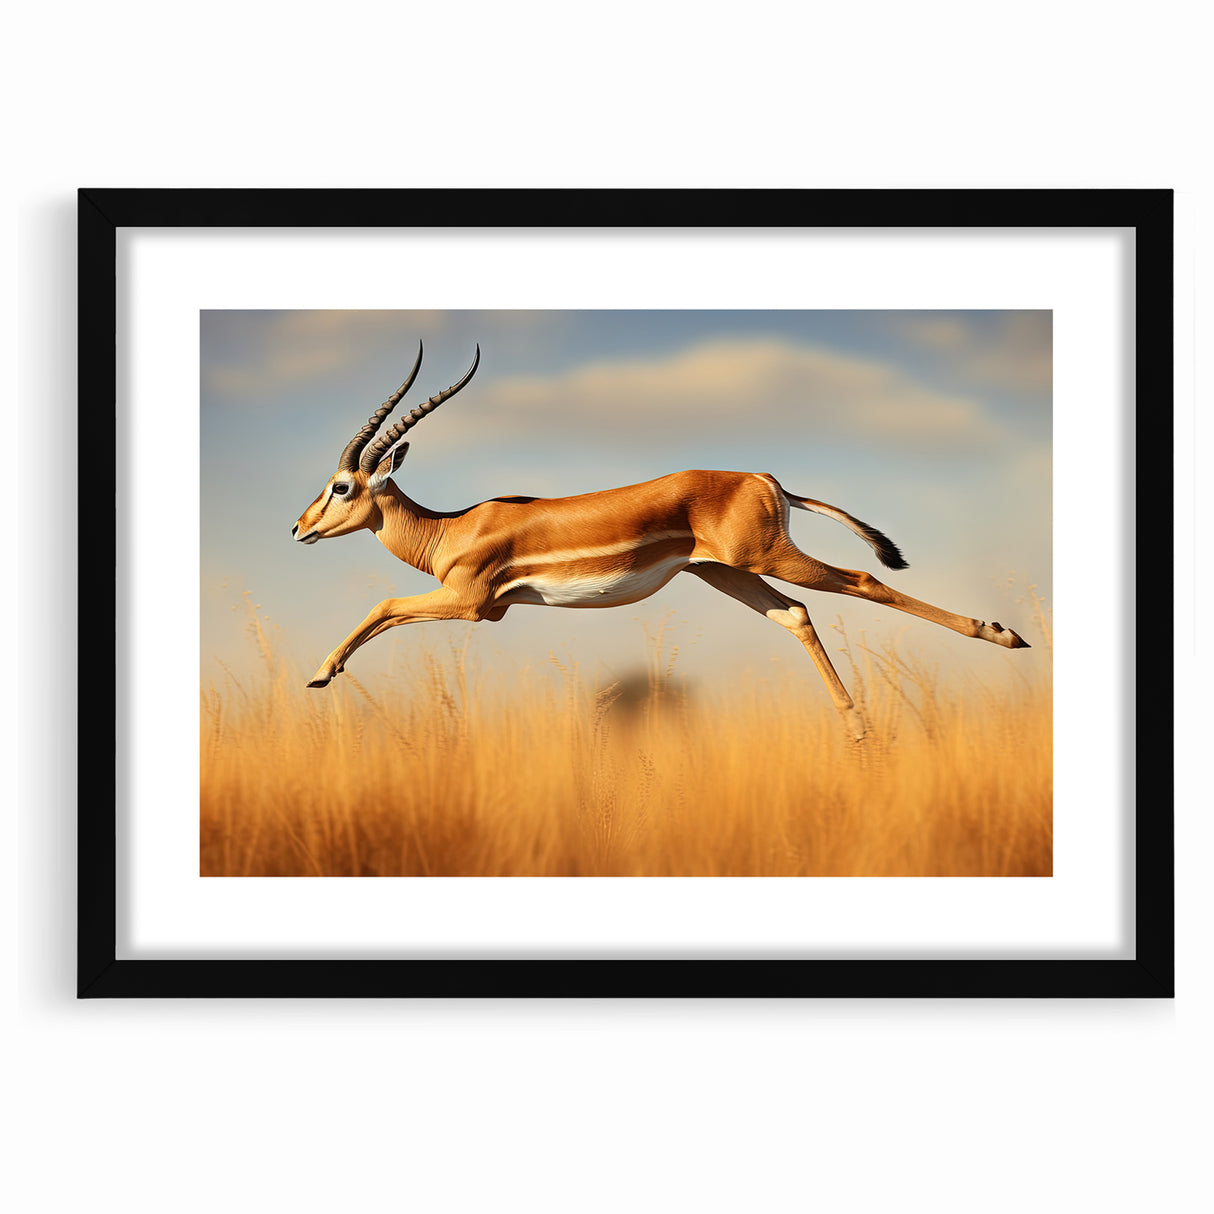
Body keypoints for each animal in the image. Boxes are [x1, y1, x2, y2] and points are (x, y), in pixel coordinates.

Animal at [292, 343, 1029, 740]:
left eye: (341, 486)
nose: (298, 528)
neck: (450, 528)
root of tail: (766, 478)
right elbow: (387, 612)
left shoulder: (473, 605)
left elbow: (384, 606)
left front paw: (320, 673)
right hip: (725, 573)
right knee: (797, 615)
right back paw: (859, 732)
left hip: (764, 558)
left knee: (864, 581)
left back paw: (1004, 635)